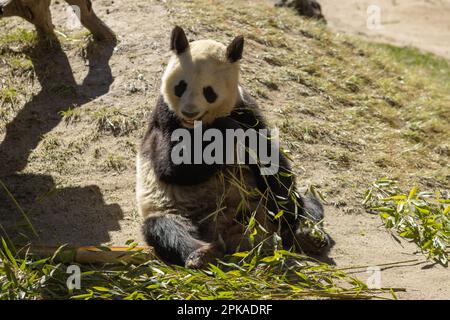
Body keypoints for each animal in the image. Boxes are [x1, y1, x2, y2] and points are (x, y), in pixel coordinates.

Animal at [135, 26, 328, 268]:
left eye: (209, 91)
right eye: (181, 86)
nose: (189, 112)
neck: (200, 125)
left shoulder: (246, 109)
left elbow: (271, 162)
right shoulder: (166, 117)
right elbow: (171, 167)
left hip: (257, 205)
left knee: (308, 204)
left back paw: (308, 233)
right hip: (174, 208)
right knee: (166, 228)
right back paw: (202, 254)